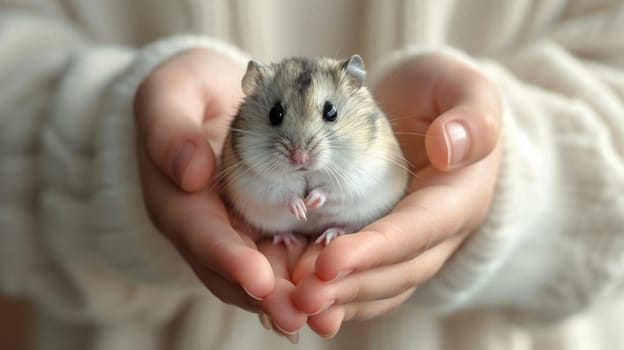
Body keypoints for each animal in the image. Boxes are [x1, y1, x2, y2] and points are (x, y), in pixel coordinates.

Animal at [219, 54, 410, 246]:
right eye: (275, 113)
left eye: (331, 111)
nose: (300, 159)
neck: (306, 172)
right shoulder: (258, 184)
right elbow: (283, 192)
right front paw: (301, 209)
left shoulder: (357, 177)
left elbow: (331, 188)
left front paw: (311, 202)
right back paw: (288, 240)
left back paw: (330, 235)